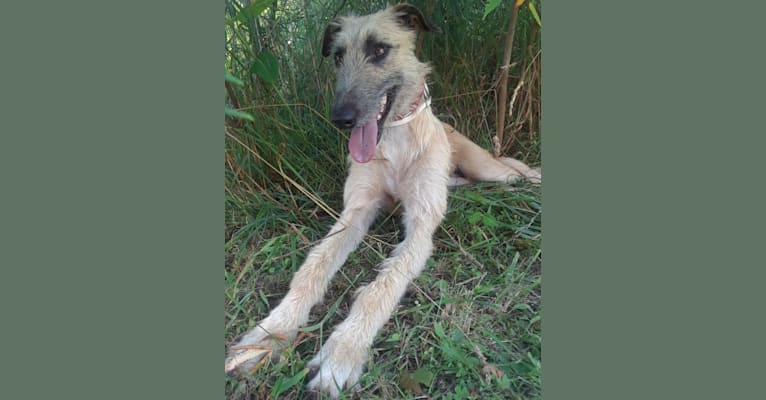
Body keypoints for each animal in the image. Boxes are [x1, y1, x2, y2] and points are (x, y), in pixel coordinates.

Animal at [225, 3, 544, 396]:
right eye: (338, 56)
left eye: (379, 49)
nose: (341, 119)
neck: (395, 140)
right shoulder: (355, 211)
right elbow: (312, 269)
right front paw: (269, 334)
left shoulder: (420, 227)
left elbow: (380, 288)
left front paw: (342, 352)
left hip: (490, 169)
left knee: (515, 171)